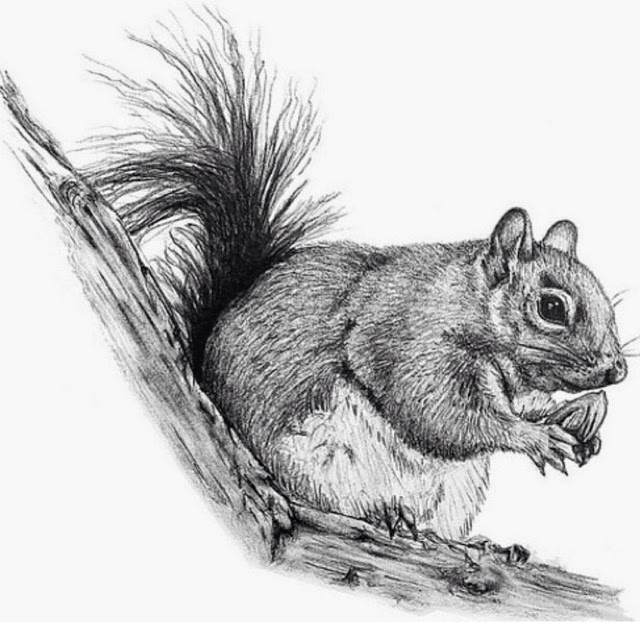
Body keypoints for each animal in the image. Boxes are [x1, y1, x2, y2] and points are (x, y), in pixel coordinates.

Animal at [88, 16, 628, 542]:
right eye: (552, 307)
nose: (616, 371)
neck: (467, 309)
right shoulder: (407, 342)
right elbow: (442, 415)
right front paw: (533, 436)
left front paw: (584, 416)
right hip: (312, 460)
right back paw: (384, 514)